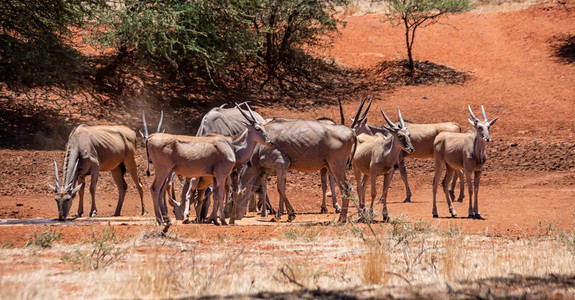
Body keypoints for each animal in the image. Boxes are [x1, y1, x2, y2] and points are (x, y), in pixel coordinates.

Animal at [143, 104, 272, 226]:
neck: (232, 146)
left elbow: (215, 196)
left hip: (166, 171)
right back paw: (160, 220)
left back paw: (166, 220)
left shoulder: (214, 176)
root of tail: (150, 138)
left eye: (264, 127)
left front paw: (214, 219)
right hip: (163, 169)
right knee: (155, 189)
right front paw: (223, 220)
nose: (270, 142)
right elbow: (220, 195)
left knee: (160, 190)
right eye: (257, 129)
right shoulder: (222, 175)